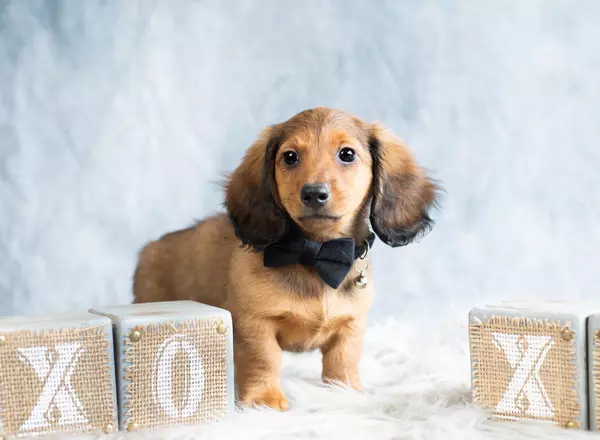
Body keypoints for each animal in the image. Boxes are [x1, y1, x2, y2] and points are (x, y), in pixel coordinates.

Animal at [132, 108, 440, 410]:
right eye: (290, 157)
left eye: (347, 154)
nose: (314, 193)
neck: (316, 255)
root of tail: (150, 248)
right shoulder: (255, 324)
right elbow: (264, 359)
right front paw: (264, 399)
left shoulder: (350, 326)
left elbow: (343, 361)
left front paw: (345, 392)